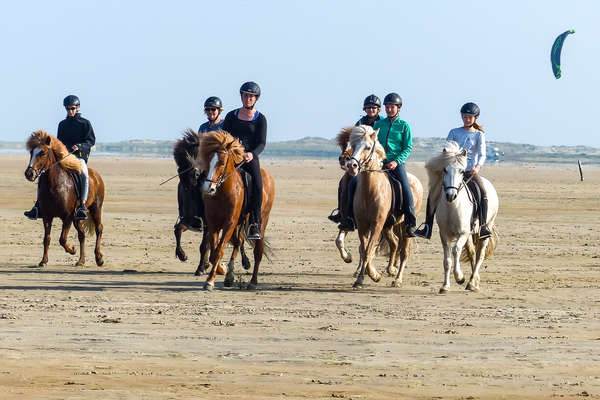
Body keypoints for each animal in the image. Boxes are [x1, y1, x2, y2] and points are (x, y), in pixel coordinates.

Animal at [23, 131, 104, 268]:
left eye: (43, 153)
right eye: (31, 152)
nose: (29, 174)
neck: (55, 185)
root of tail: (96, 176)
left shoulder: (67, 217)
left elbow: (62, 239)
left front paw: (72, 249)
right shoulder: (47, 216)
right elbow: (47, 239)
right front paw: (43, 261)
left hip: (95, 209)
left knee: (99, 229)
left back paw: (99, 258)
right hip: (77, 218)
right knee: (82, 235)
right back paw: (81, 260)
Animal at [195, 131, 274, 290]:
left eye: (222, 162)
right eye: (209, 161)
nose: (208, 188)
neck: (223, 192)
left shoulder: (229, 224)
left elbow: (218, 251)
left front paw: (211, 279)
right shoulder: (213, 224)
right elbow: (214, 253)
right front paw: (221, 271)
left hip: (261, 221)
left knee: (258, 252)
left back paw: (253, 282)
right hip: (240, 223)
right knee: (238, 243)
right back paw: (230, 277)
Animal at [342, 125, 422, 288]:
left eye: (367, 147)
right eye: (353, 145)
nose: (352, 166)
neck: (370, 190)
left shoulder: (377, 224)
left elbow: (369, 250)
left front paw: (371, 276)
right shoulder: (363, 225)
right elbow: (364, 250)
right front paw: (366, 277)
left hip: (404, 226)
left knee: (404, 251)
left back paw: (397, 279)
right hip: (390, 225)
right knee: (395, 243)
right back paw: (391, 269)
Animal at [424, 141, 500, 294]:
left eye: (461, 171)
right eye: (445, 170)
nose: (450, 195)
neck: (452, 207)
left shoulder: (463, 233)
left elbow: (456, 250)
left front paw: (459, 277)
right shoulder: (444, 235)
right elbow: (447, 260)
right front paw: (445, 286)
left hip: (484, 230)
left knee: (480, 254)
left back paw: (471, 283)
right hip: (470, 234)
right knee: (472, 252)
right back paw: (473, 281)